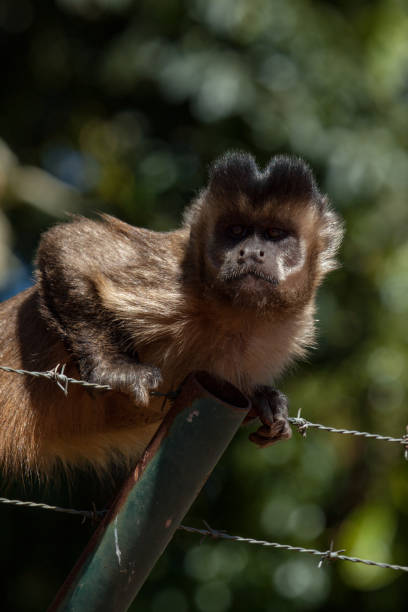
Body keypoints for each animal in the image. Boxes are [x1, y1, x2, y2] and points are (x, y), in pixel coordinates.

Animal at [0, 151, 344, 476]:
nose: (250, 252)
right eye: (236, 231)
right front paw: (114, 369)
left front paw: (264, 401)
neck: (235, 316)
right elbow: (69, 246)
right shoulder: (175, 275)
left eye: (274, 234)